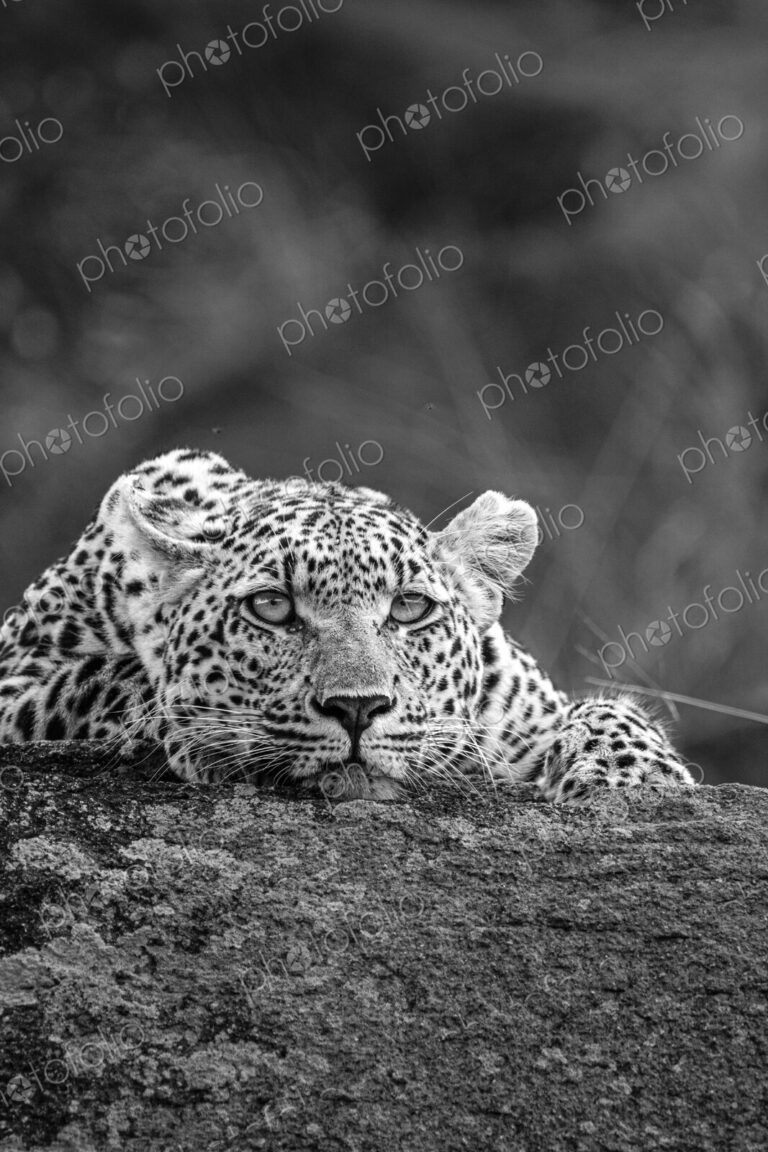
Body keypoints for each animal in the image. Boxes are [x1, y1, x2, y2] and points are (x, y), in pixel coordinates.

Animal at [0, 448, 695, 802]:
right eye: (271, 607)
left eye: (410, 607)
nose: (358, 708)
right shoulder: (17, 680)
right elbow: (107, 679)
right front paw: (197, 734)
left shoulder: (523, 706)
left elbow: (608, 711)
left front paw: (632, 777)